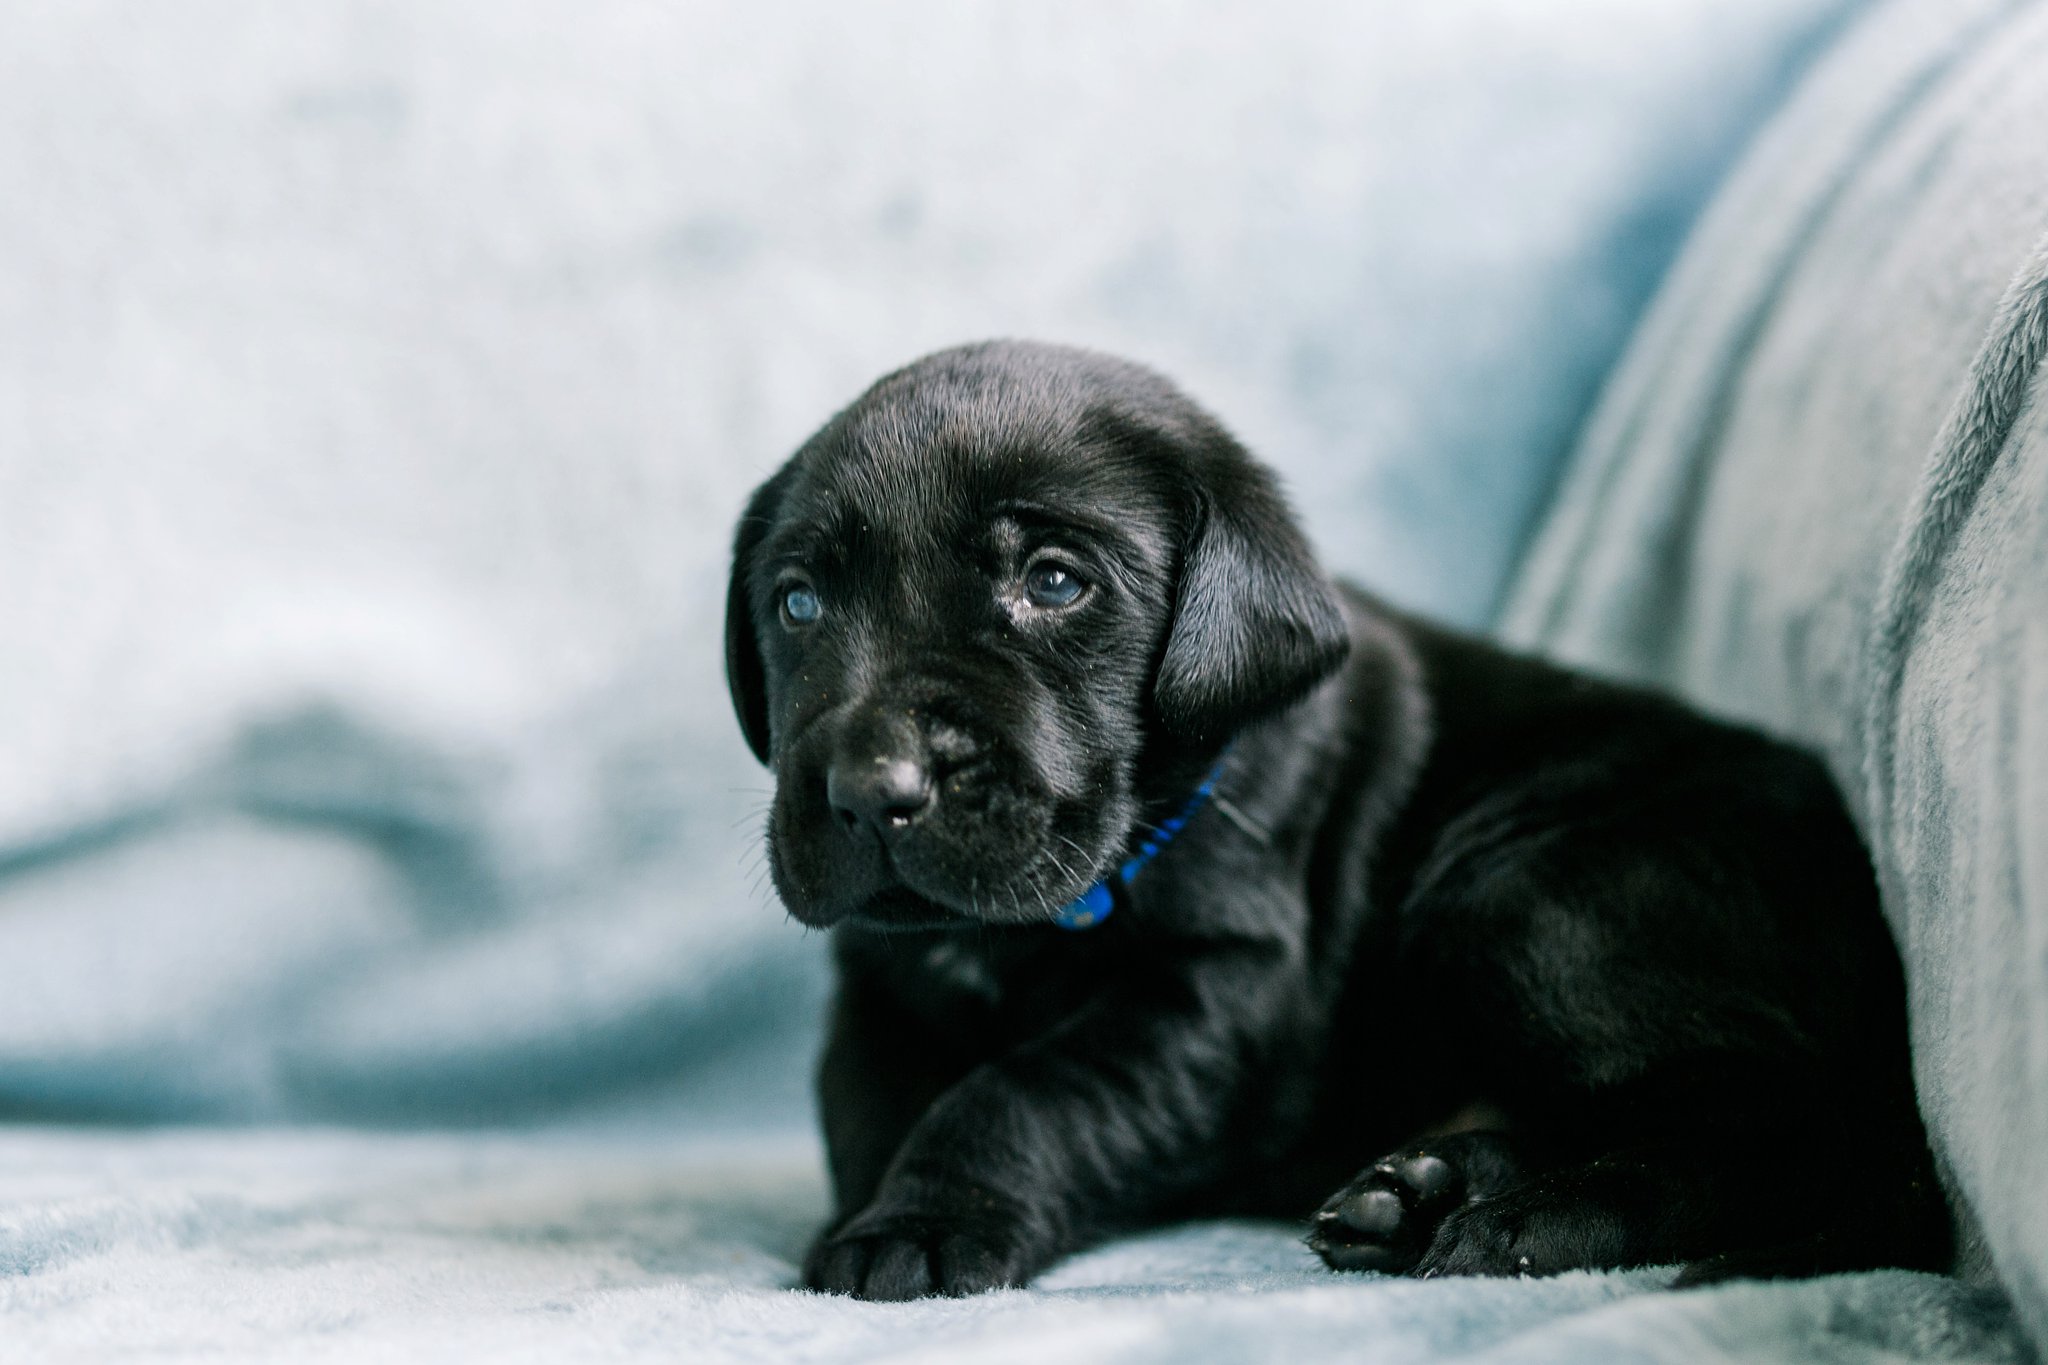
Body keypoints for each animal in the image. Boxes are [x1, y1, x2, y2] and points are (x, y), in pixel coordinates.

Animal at [724, 341, 1949, 1301]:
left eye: (1055, 581)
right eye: (798, 604)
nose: (871, 787)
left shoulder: (1216, 998)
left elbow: (1019, 1094)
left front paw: (919, 1226)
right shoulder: (883, 990)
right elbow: (864, 1104)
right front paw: (873, 1208)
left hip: (1525, 892)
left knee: (1767, 1122)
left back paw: (1523, 1220)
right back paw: (1424, 1190)